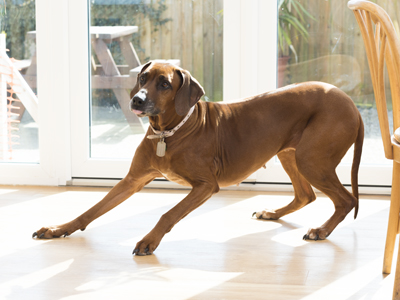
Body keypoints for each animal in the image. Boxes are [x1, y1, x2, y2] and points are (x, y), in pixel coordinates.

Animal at [32, 61, 364, 255]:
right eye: (142, 77)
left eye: (165, 84)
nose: (136, 100)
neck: (169, 132)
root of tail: (351, 103)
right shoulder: (132, 180)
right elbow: (92, 210)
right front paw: (59, 229)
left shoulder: (205, 186)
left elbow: (168, 214)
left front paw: (149, 240)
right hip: (290, 154)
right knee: (306, 195)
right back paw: (273, 214)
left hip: (311, 159)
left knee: (346, 199)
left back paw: (322, 230)